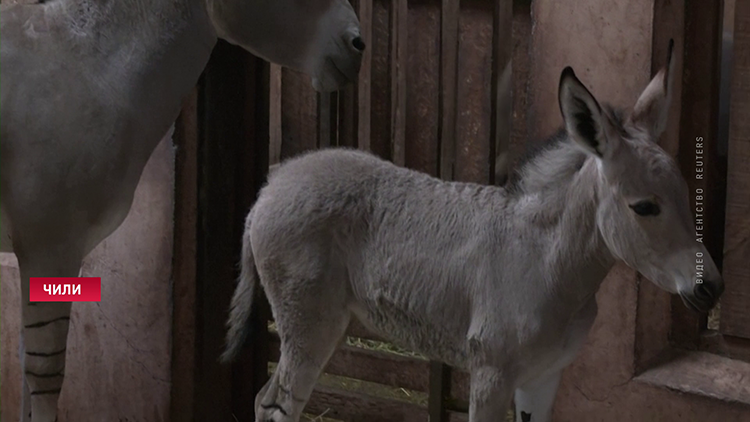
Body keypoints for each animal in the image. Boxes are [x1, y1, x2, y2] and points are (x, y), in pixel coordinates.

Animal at [225, 40, 728, 422]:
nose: (713, 288)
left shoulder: (543, 377)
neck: (550, 262)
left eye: (689, 195)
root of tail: (273, 184)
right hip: (308, 323)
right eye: (645, 207)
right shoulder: (491, 375)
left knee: (265, 400)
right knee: (275, 406)